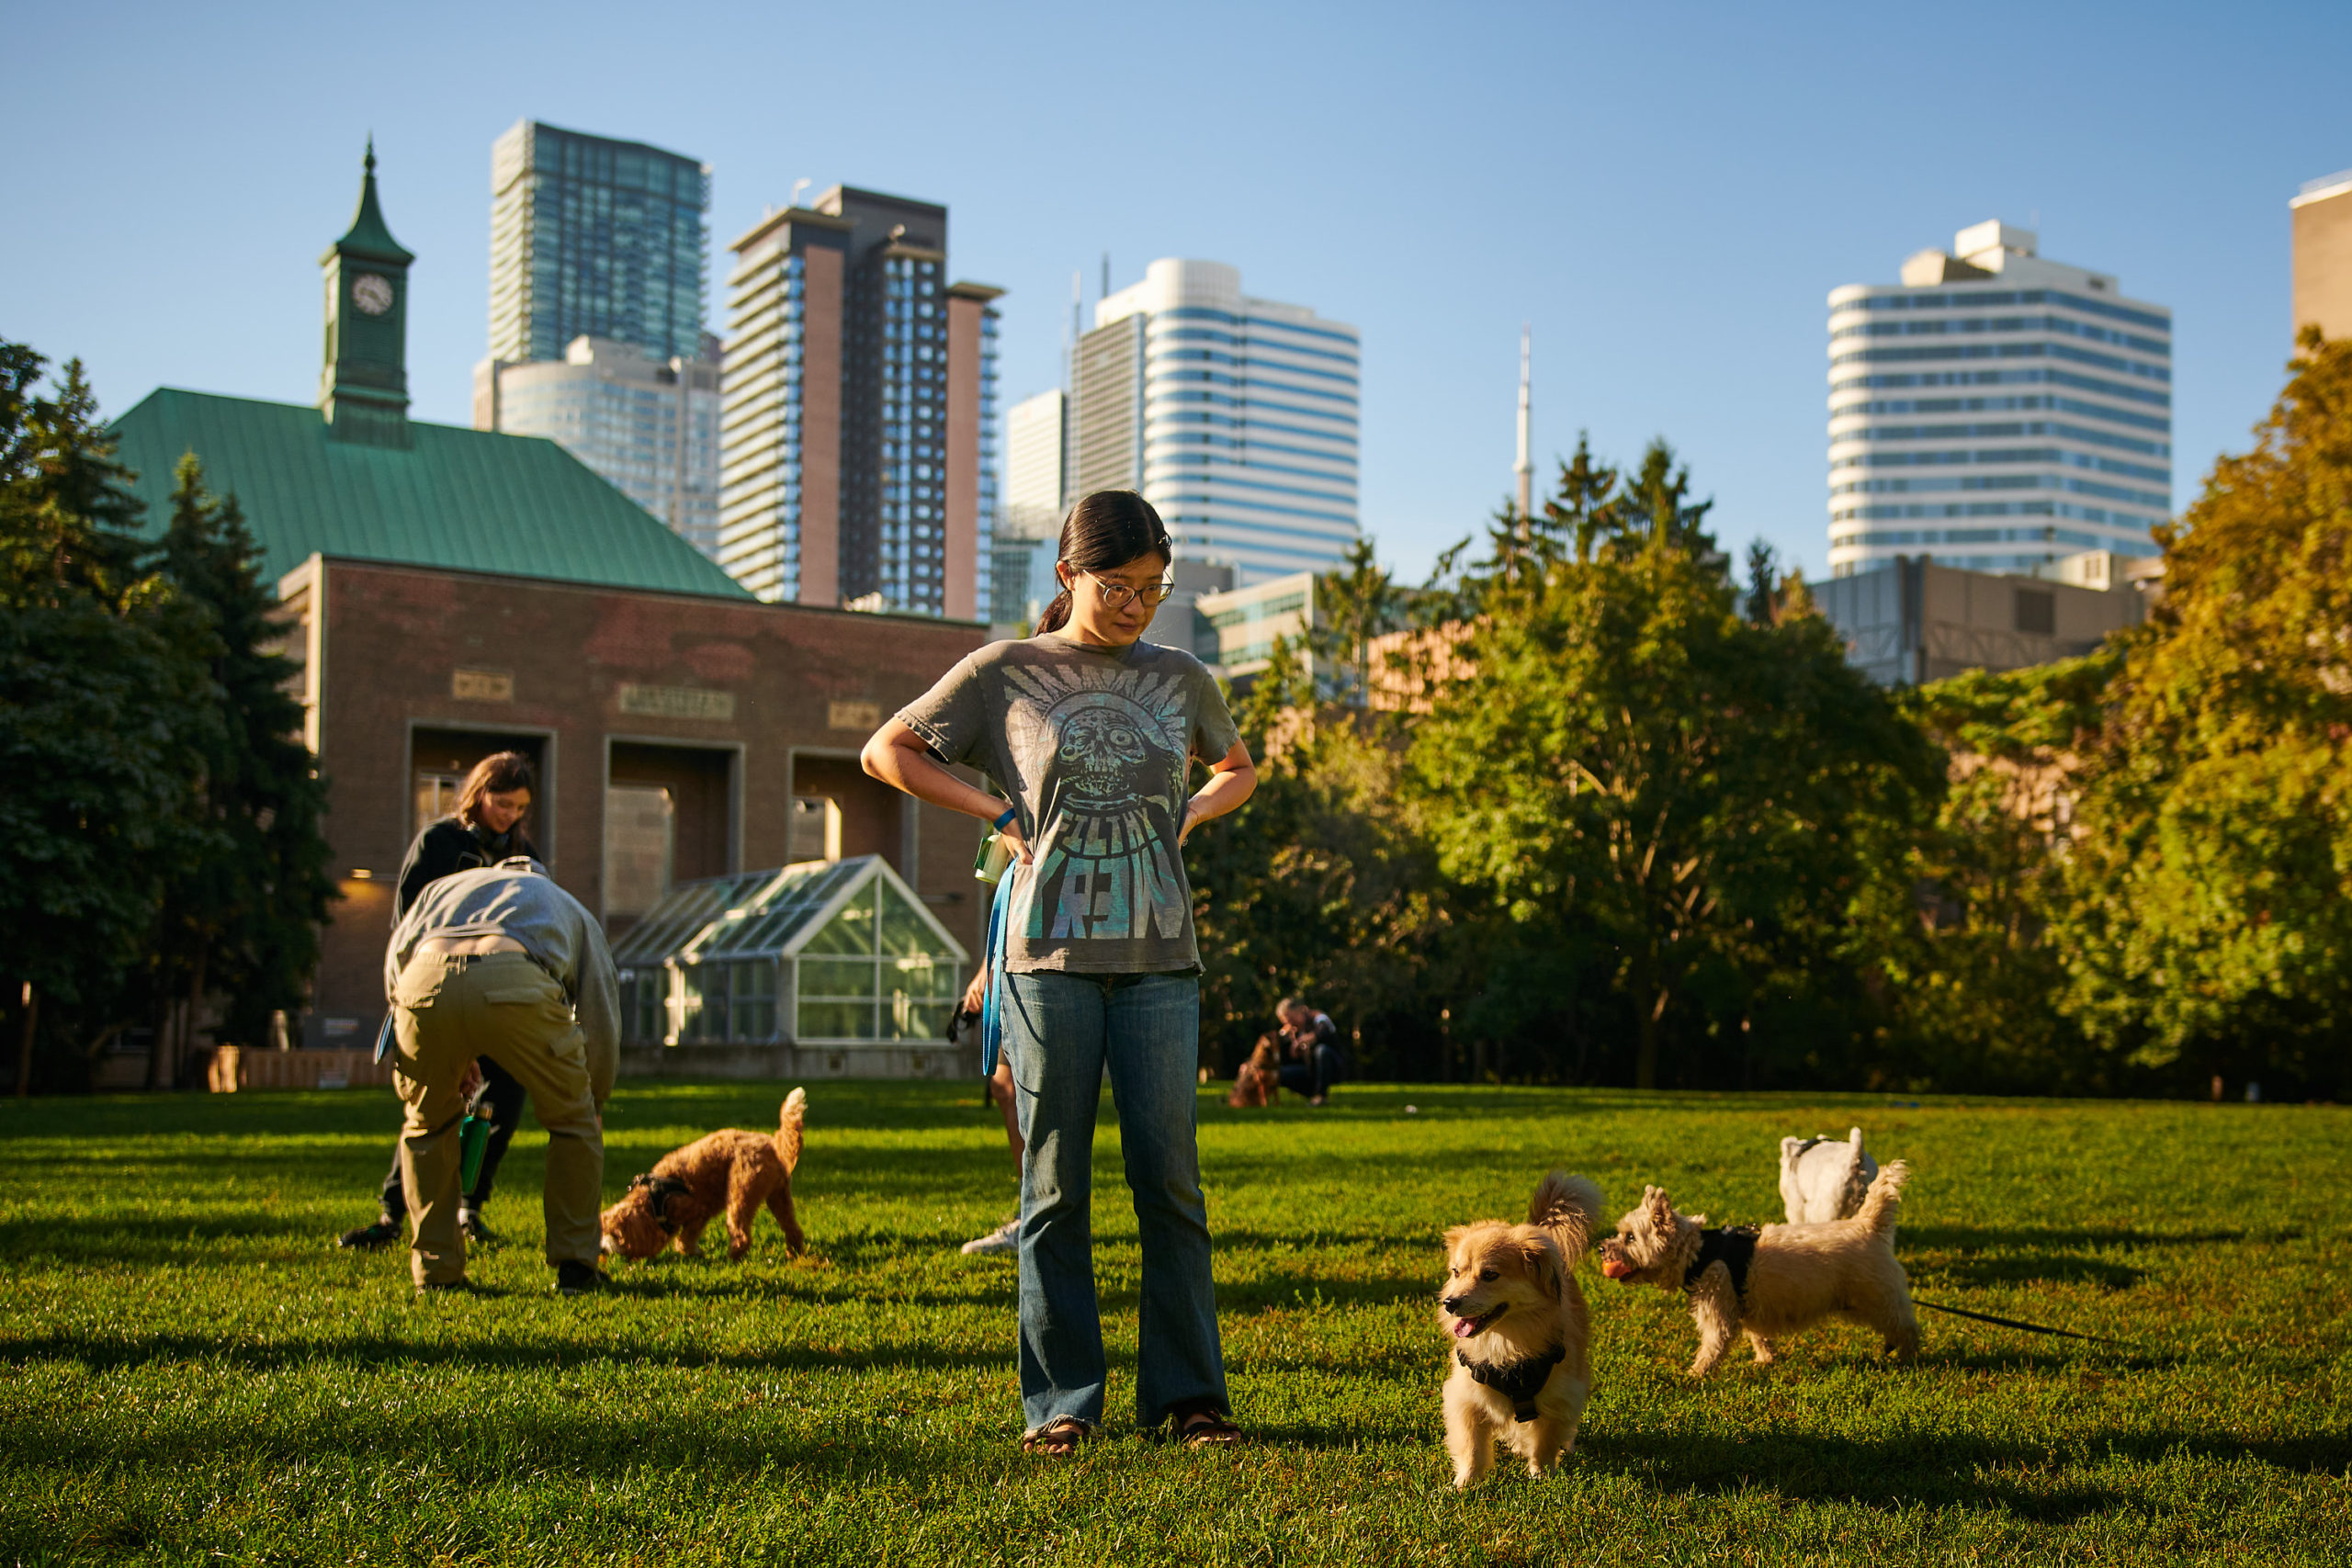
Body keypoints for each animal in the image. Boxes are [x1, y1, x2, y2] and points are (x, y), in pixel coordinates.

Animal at [597, 1090, 808, 1259]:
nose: (600, 1252)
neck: (652, 1200)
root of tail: (773, 1145)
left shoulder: (698, 1209)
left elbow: (684, 1239)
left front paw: (694, 1252)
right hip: (778, 1194)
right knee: (792, 1227)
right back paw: (794, 1253)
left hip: (741, 1190)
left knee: (741, 1232)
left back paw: (733, 1257)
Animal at [1430, 1170, 1618, 1495]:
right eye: (1456, 1272)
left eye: (1490, 1275)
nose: (1450, 1303)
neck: (1504, 1343)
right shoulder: (1465, 1398)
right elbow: (1472, 1447)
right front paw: (1465, 1483)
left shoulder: (1559, 1396)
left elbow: (1545, 1442)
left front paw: (1540, 1476)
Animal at [1599, 1161, 1909, 1382]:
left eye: (1629, 1237)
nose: (1601, 1248)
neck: (1699, 1252)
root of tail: (1868, 1224)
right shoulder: (1746, 1307)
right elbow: (1759, 1337)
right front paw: (1765, 1360)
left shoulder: (1718, 1310)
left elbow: (1711, 1346)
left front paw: (1695, 1374)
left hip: (1879, 1297)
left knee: (1906, 1326)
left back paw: (1909, 1357)